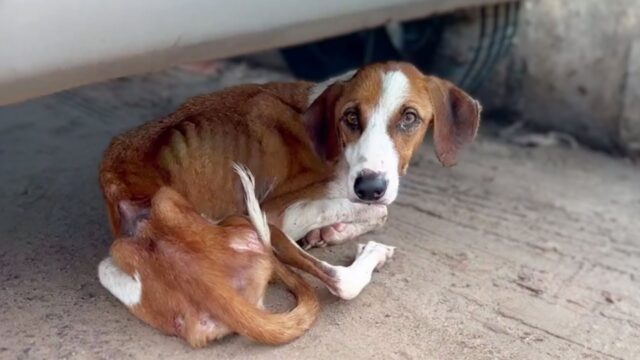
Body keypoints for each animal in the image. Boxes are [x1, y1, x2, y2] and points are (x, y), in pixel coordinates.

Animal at [97, 61, 480, 346]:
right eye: (351, 117)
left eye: (409, 118)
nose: (369, 186)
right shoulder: (278, 211)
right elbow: (375, 210)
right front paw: (343, 224)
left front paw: (331, 231)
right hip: (251, 221)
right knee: (340, 281)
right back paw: (373, 252)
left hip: (111, 264)